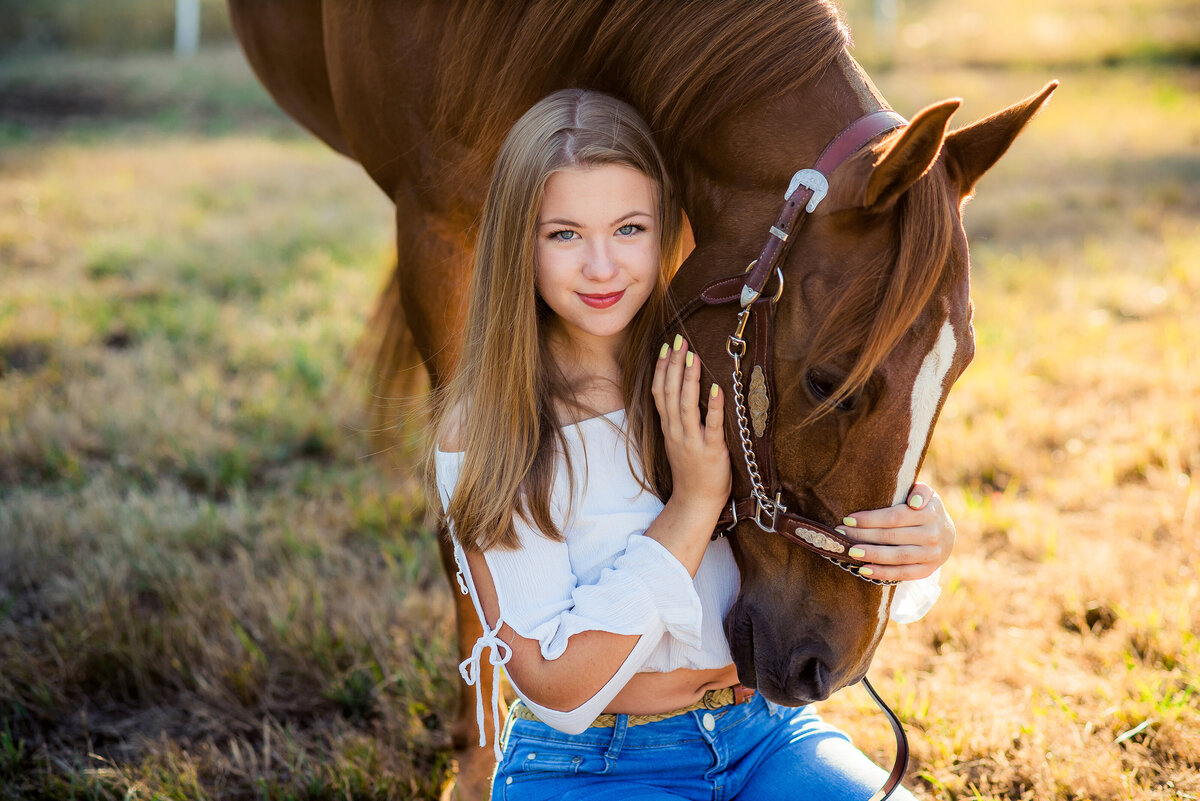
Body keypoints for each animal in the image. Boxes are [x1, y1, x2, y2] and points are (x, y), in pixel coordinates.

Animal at [229, 1, 1056, 796]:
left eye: (959, 369)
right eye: (830, 381)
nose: (833, 664)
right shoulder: (439, 225)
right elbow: (461, 519)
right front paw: (473, 759)